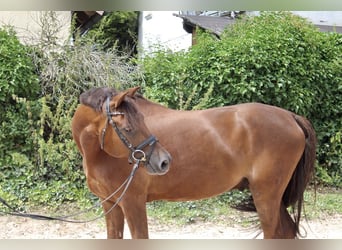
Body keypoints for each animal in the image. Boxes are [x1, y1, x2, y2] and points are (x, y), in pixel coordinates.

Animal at [71, 86, 316, 238]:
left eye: (142, 120)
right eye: (128, 128)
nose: (164, 161)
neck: (100, 155)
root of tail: (291, 117)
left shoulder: (133, 203)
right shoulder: (110, 204)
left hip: (266, 196)